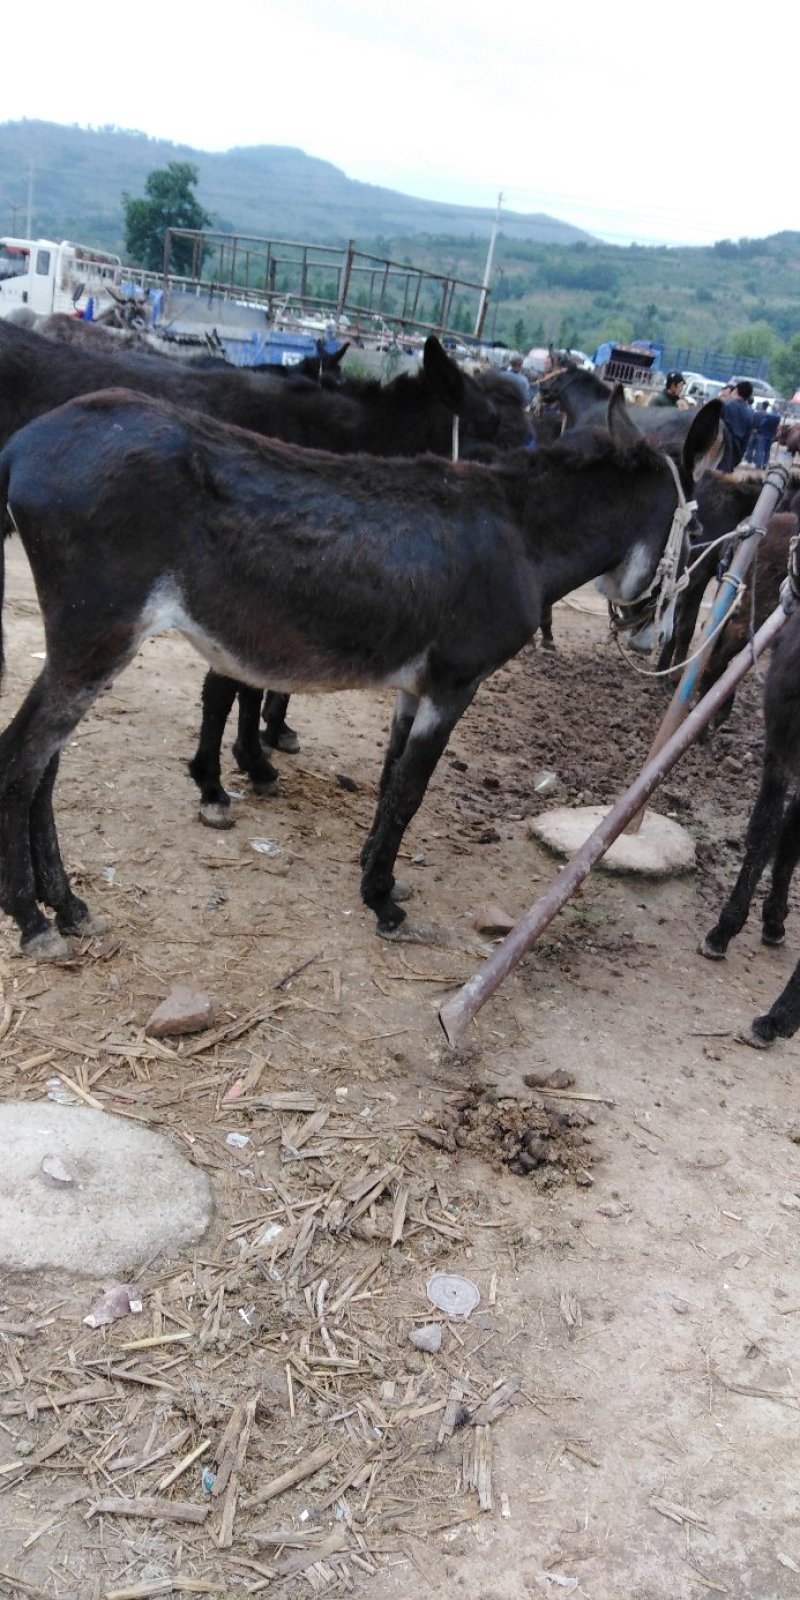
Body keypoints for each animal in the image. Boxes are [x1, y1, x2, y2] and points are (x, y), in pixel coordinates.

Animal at [0, 352, 721, 961]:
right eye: (696, 531)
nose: (655, 641)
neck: (522, 537)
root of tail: (28, 441)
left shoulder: (415, 688)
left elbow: (389, 778)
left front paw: (381, 879)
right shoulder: (454, 685)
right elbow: (410, 789)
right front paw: (383, 904)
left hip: (89, 642)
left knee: (47, 764)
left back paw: (67, 906)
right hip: (99, 634)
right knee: (22, 757)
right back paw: (34, 921)